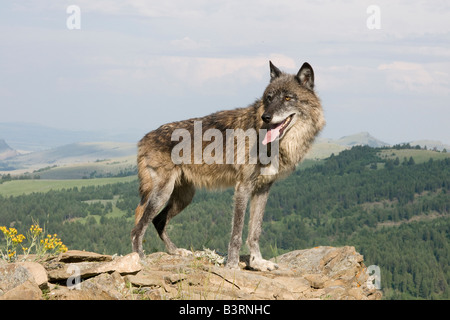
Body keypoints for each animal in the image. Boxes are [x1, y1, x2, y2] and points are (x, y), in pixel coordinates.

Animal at [132, 61, 326, 272]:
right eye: (269, 98)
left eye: (288, 98)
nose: (266, 117)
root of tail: (143, 139)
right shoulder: (243, 187)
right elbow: (237, 232)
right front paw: (232, 265)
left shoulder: (263, 189)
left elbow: (255, 232)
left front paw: (257, 262)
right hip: (162, 194)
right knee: (138, 226)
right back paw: (139, 258)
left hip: (184, 197)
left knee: (158, 221)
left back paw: (176, 251)